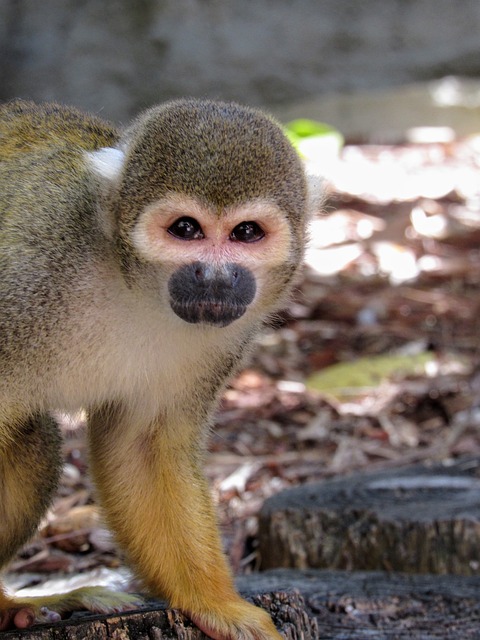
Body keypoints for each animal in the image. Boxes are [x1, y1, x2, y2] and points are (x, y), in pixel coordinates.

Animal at [0, 97, 308, 636]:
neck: (131, 286)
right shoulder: (28, 273)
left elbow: (141, 445)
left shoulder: (225, 339)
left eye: (246, 232)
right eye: (185, 229)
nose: (214, 277)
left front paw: (214, 603)